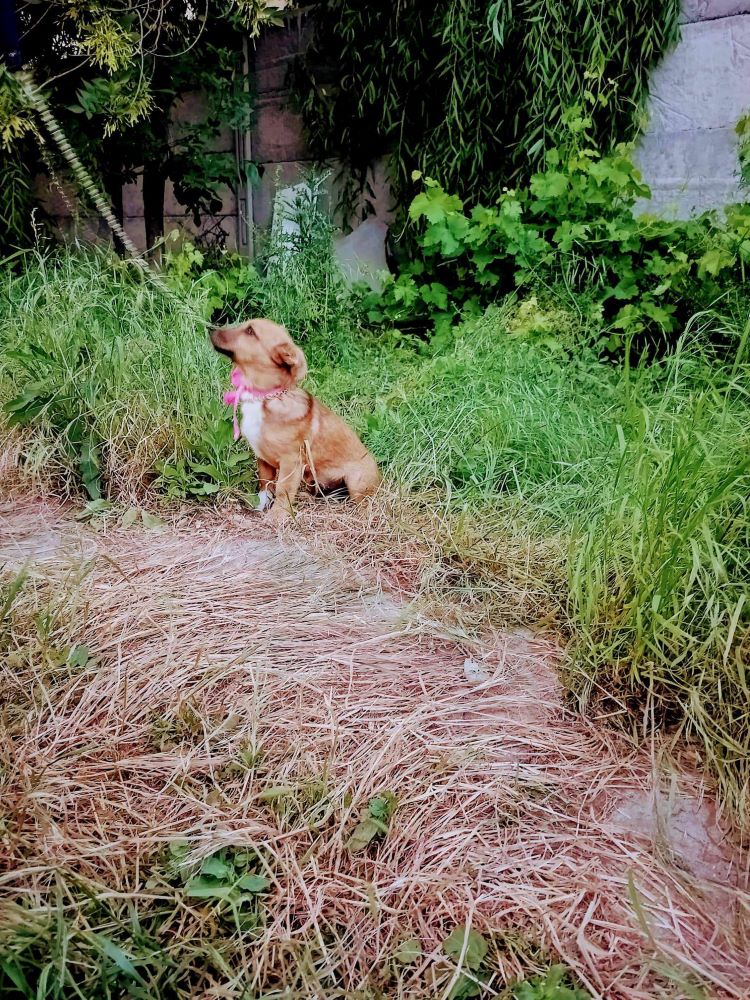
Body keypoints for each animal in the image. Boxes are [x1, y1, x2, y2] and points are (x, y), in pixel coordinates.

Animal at [210, 318, 382, 524]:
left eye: (250, 331)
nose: (209, 329)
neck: (265, 397)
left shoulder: (290, 462)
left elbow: (282, 490)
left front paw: (276, 516)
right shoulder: (263, 460)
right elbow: (265, 486)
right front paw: (261, 507)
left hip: (356, 482)